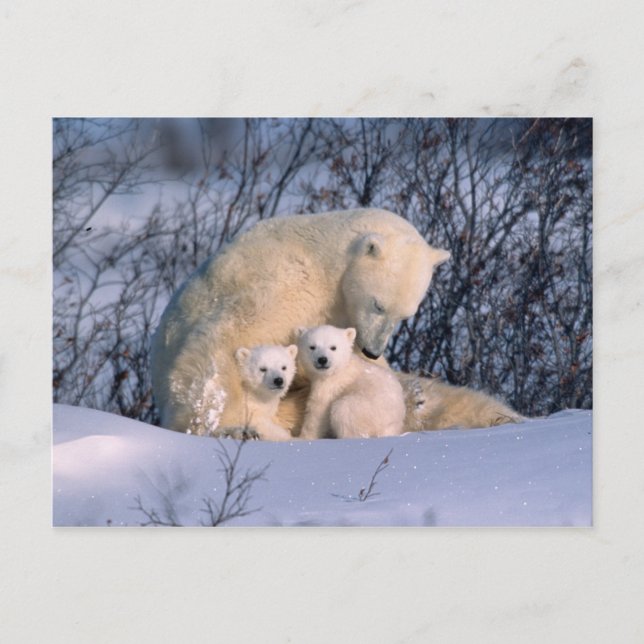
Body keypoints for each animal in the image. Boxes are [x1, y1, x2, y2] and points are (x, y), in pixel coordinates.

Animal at [150, 208, 451, 437]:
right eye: (378, 304)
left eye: (405, 316)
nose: (372, 351)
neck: (327, 263)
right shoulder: (289, 282)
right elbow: (229, 337)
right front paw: (227, 425)